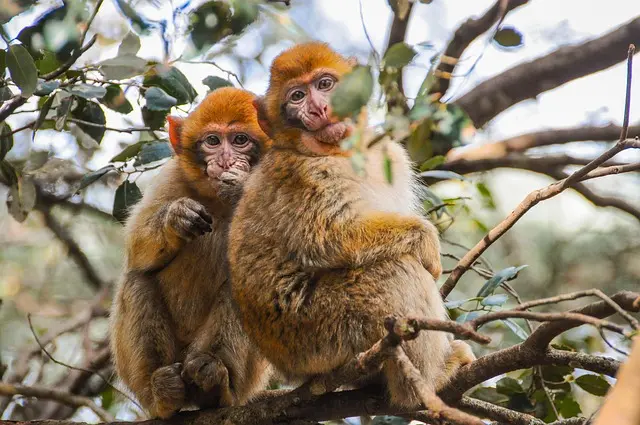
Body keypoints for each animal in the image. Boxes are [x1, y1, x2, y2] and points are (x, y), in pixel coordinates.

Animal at [110, 87, 272, 419]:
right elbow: (136, 249)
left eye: (240, 140)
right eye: (213, 141)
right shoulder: (172, 177)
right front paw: (175, 218)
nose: (225, 160)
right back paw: (163, 393)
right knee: (137, 279)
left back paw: (214, 383)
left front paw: (241, 186)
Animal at [228, 42, 474, 408]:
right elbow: (328, 237)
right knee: (395, 270)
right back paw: (423, 387)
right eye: (297, 96)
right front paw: (427, 242)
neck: (341, 152)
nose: (318, 108)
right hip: (320, 332)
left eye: (325, 84)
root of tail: (290, 369)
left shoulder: (389, 153)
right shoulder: (305, 175)